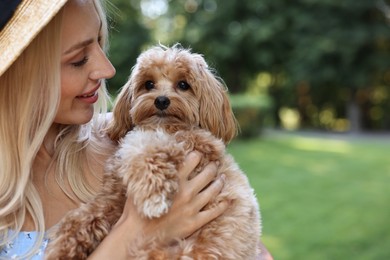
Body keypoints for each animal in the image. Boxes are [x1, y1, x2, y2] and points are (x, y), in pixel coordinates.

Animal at [46, 45, 262, 260]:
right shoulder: (114, 195)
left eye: (183, 85)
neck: (162, 126)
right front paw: (63, 246)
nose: (161, 100)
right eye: (149, 84)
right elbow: (87, 214)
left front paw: (153, 197)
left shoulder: (194, 145)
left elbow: (146, 148)